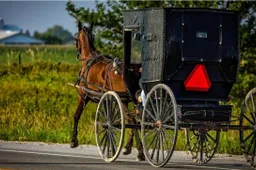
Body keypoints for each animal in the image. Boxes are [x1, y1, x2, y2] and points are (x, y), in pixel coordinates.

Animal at [70, 21, 144, 160]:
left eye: (75, 38)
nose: (77, 52)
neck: (88, 59)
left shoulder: (83, 97)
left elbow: (76, 115)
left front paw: (73, 141)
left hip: (123, 100)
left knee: (131, 120)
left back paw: (140, 151)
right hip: (129, 100)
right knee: (134, 120)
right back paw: (128, 147)